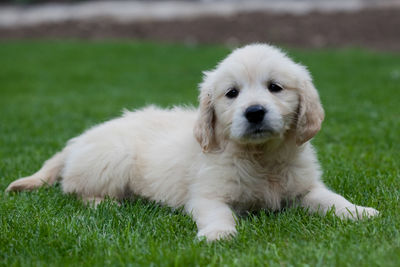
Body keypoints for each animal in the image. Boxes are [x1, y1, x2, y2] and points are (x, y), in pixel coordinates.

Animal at [7, 43, 380, 241]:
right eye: (232, 93)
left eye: (275, 87)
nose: (255, 112)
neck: (261, 158)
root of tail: (79, 139)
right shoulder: (207, 195)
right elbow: (218, 213)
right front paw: (219, 235)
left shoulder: (305, 189)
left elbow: (331, 199)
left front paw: (359, 212)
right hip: (114, 157)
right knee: (74, 190)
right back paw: (106, 204)